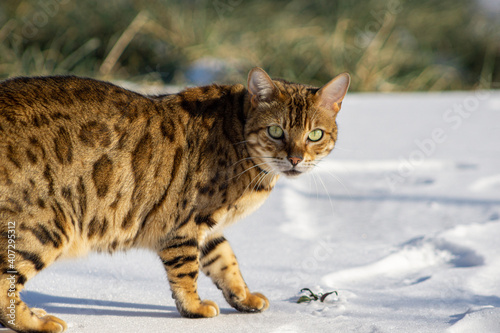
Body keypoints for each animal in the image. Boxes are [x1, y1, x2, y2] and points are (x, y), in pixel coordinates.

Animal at [0, 66, 352, 330]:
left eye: (315, 135)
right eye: (276, 131)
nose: (295, 159)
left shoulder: (208, 227)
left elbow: (226, 260)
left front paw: (244, 297)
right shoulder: (186, 223)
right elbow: (186, 269)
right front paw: (194, 307)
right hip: (44, 227)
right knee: (6, 286)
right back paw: (39, 321)